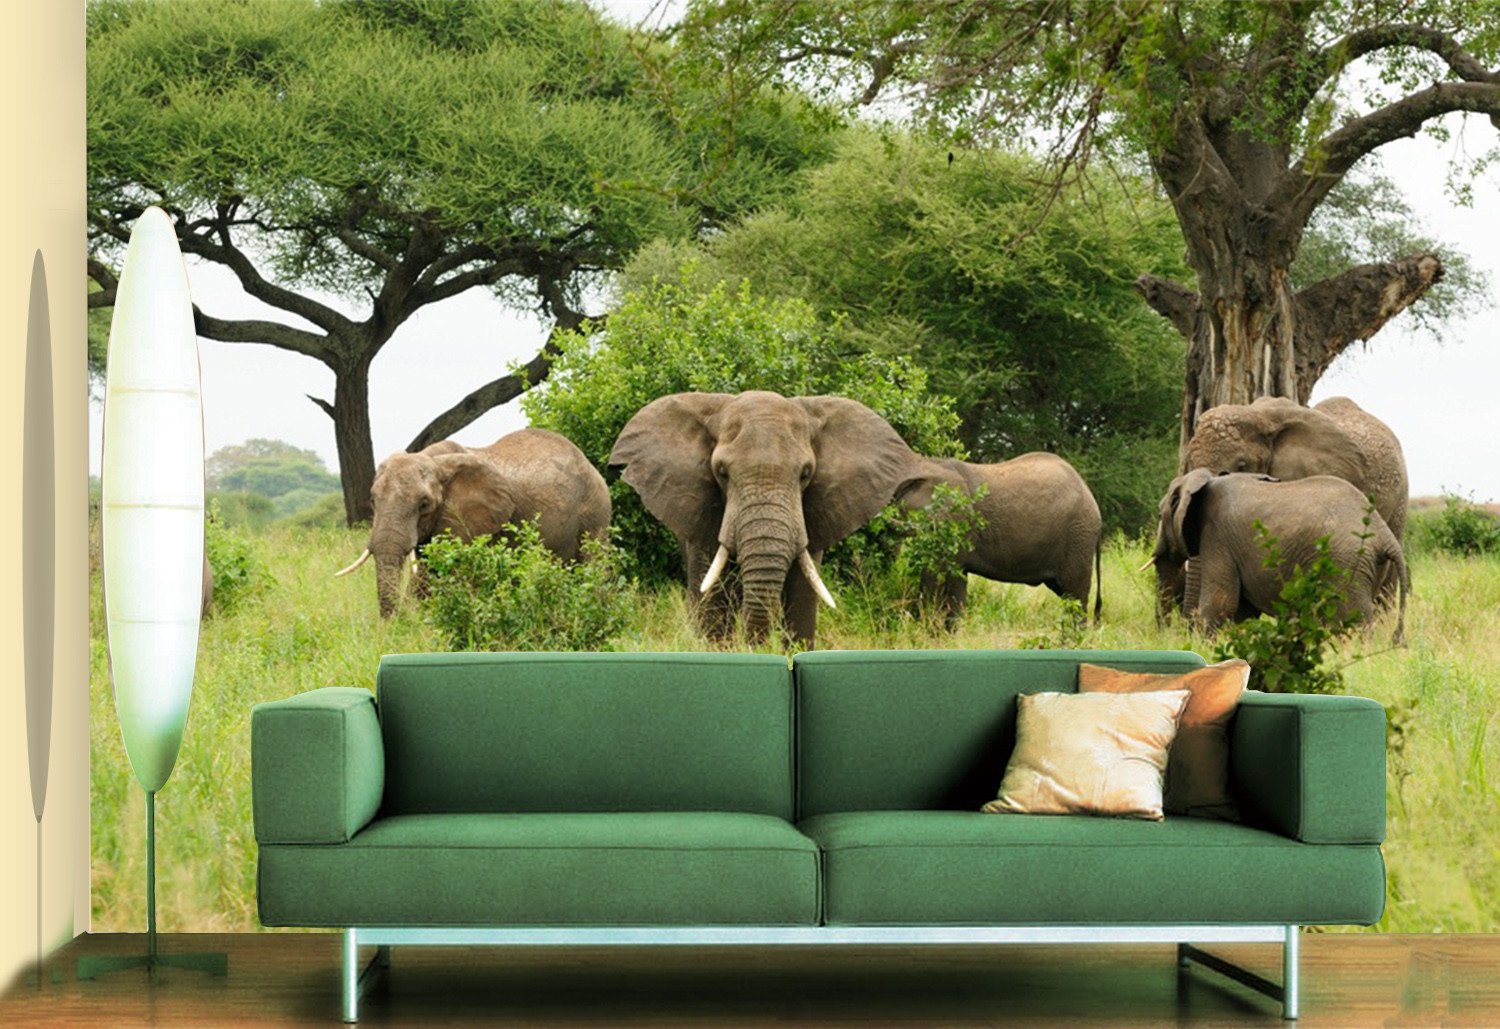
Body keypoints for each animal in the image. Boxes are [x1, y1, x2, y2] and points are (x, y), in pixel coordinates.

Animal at [1149, 469, 1408, 642]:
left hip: (1346, 563)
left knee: (1353, 621)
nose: (1166, 638)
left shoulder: (1217, 537)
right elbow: (1243, 611)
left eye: (1160, 516)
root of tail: (1385, 535)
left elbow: (1221, 604)